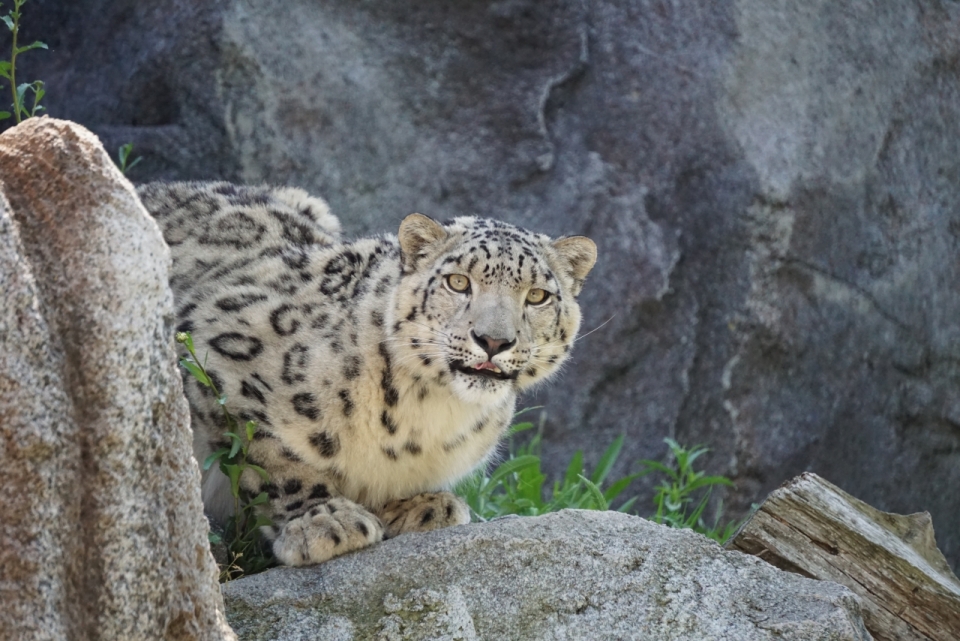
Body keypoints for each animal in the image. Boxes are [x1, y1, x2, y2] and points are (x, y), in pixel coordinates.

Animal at [139, 181, 596, 564]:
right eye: (457, 282)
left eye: (536, 295)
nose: (494, 341)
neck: (431, 413)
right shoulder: (214, 354)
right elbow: (268, 457)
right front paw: (323, 520)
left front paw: (422, 506)